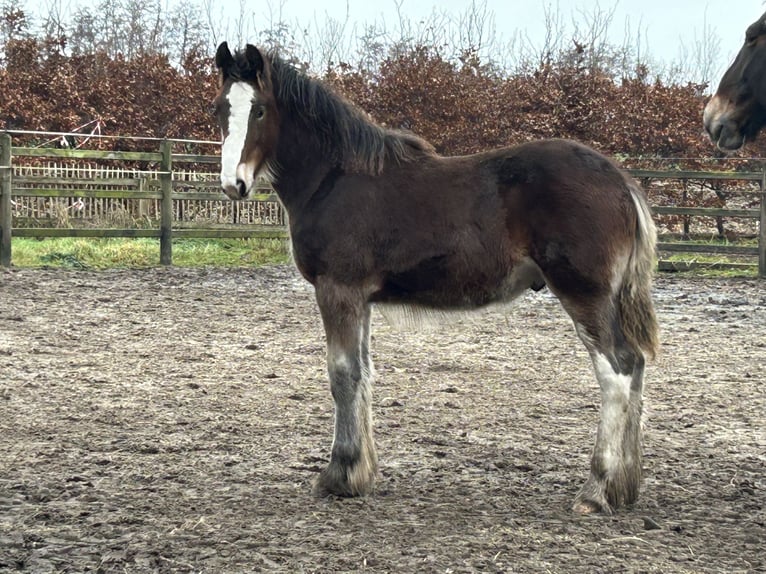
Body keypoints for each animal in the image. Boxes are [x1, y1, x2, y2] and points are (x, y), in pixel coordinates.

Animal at [212, 41, 660, 516]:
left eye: (259, 110)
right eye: (219, 108)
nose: (234, 184)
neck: (335, 177)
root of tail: (622, 182)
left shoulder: (338, 289)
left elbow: (342, 375)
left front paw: (340, 475)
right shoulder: (361, 298)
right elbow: (363, 373)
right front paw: (361, 474)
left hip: (585, 295)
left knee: (617, 372)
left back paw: (596, 490)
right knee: (636, 367)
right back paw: (625, 488)